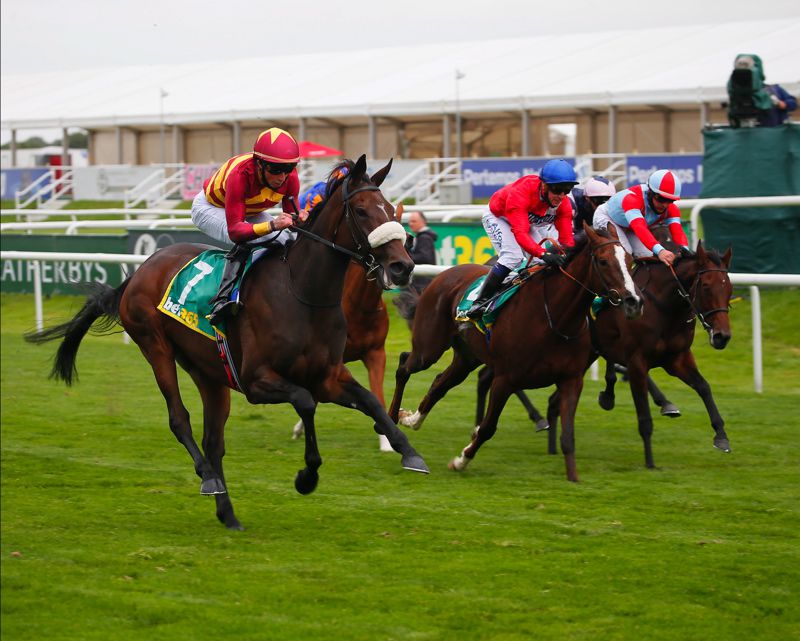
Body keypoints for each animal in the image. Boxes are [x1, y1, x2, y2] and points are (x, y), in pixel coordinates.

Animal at [26, 155, 432, 528]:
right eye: (362, 211)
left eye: (390, 209)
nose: (403, 266)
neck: (302, 293)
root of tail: (140, 270)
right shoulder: (256, 381)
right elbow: (305, 402)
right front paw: (306, 476)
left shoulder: (328, 376)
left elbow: (371, 402)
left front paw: (409, 453)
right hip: (155, 346)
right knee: (180, 420)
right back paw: (208, 478)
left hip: (210, 372)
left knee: (213, 441)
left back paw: (227, 510)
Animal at [388, 225, 644, 480]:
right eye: (603, 261)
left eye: (630, 260)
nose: (634, 301)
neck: (554, 317)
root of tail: (443, 275)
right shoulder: (505, 379)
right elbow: (488, 428)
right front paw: (461, 461)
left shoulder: (571, 380)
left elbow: (568, 435)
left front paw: (573, 478)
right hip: (429, 347)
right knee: (404, 365)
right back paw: (391, 418)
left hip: (467, 357)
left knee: (439, 383)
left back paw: (411, 419)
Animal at [580, 240, 736, 464]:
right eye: (706, 286)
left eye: (729, 288)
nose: (722, 336)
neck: (666, 307)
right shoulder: (637, 356)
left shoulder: (677, 358)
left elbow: (703, 387)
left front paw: (721, 435)